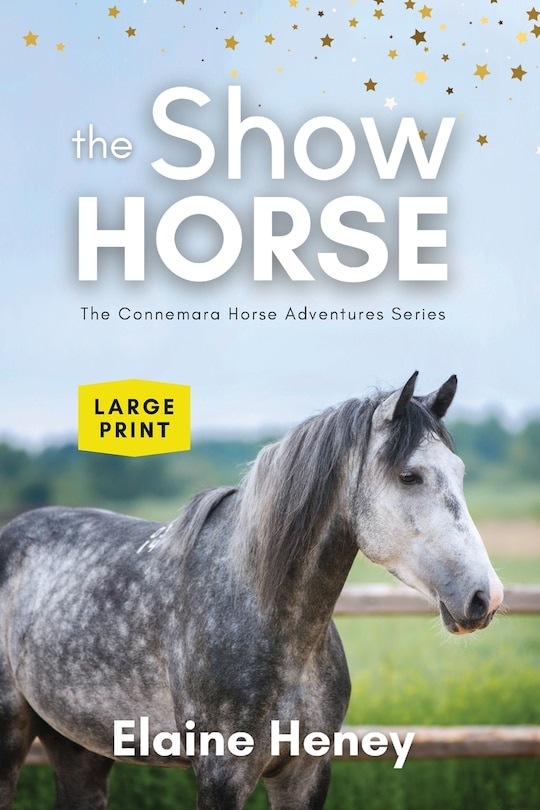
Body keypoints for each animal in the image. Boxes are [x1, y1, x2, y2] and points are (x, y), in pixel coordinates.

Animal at [0, 372, 503, 809]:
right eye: (409, 476)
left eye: (459, 472)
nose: (486, 597)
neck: (268, 618)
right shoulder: (222, 775)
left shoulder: (305, 773)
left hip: (77, 744)